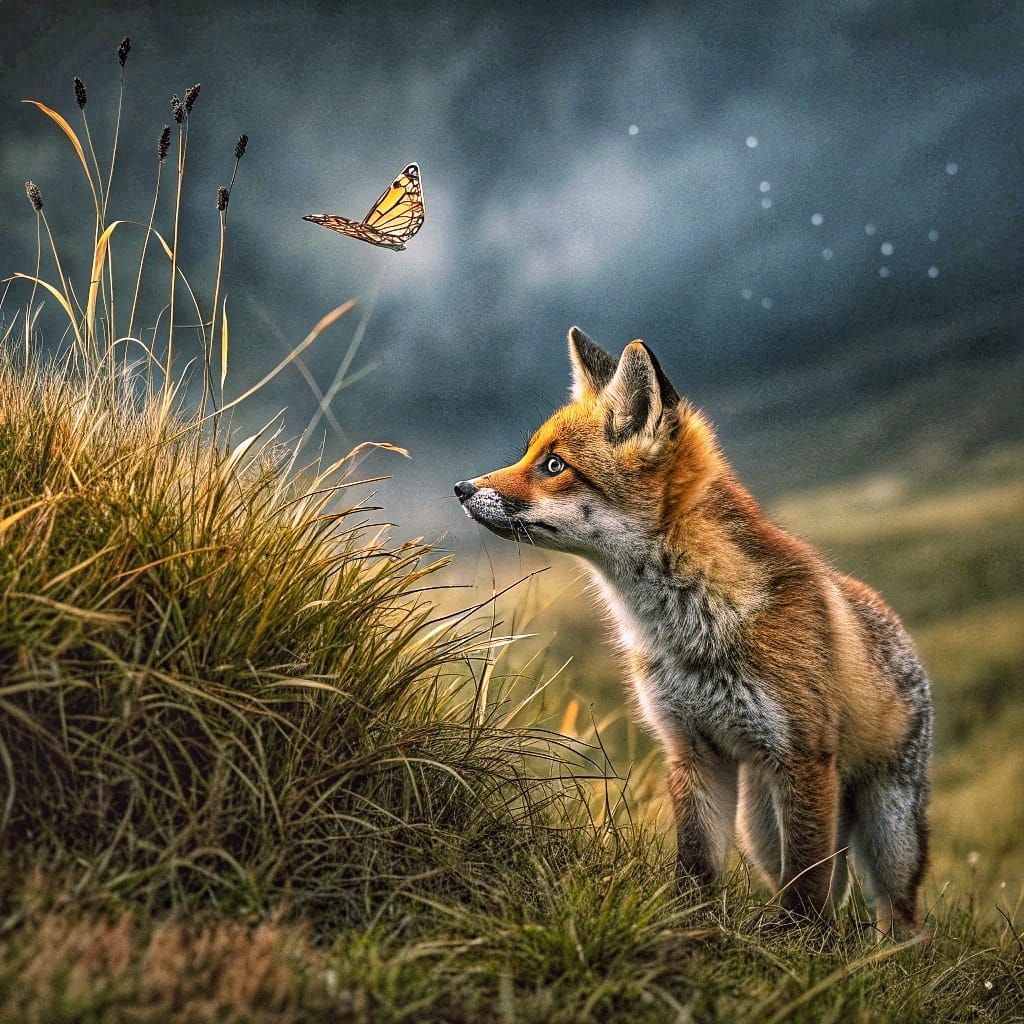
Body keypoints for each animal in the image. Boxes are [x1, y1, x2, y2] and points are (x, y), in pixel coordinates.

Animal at [454, 326, 932, 938]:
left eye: (555, 465)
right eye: (531, 454)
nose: (461, 488)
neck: (690, 630)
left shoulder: (803, 755)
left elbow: (806, 888)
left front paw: (798, 945)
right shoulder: (691, 749)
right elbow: (697, 865)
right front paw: (692, 927)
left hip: (887, 832)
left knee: (898, 914)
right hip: (761, 825)